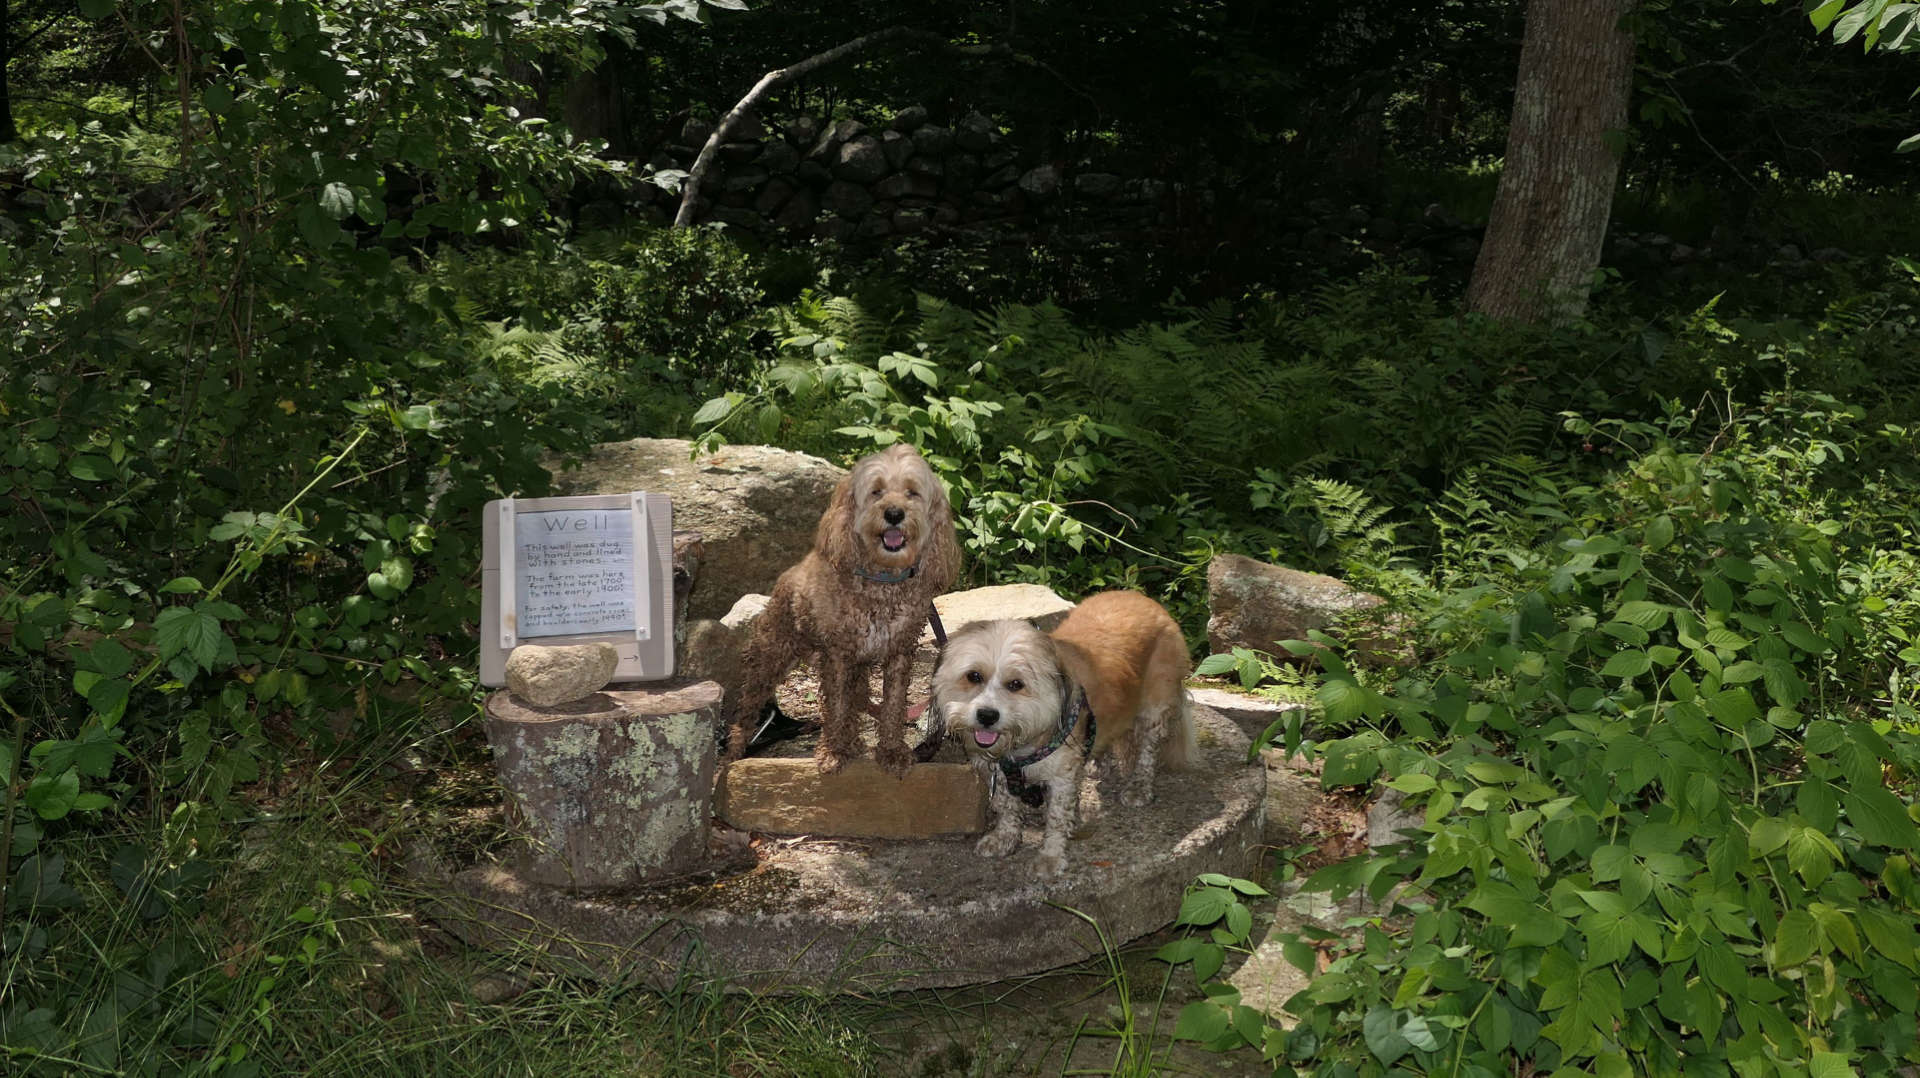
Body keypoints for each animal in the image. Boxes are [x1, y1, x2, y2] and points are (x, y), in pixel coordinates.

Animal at [721, 443, 956, 772]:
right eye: (876, 491)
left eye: (912, 492)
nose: (894, 514)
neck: (881, 581)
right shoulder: (837, 656)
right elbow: (836, 707)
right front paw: (833, 752)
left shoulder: (898, 654)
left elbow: (893, 706)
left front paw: (892, 751)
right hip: (771, 658)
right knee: (747, 709)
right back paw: (733, 752)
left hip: (857, 668)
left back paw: (854, 742)